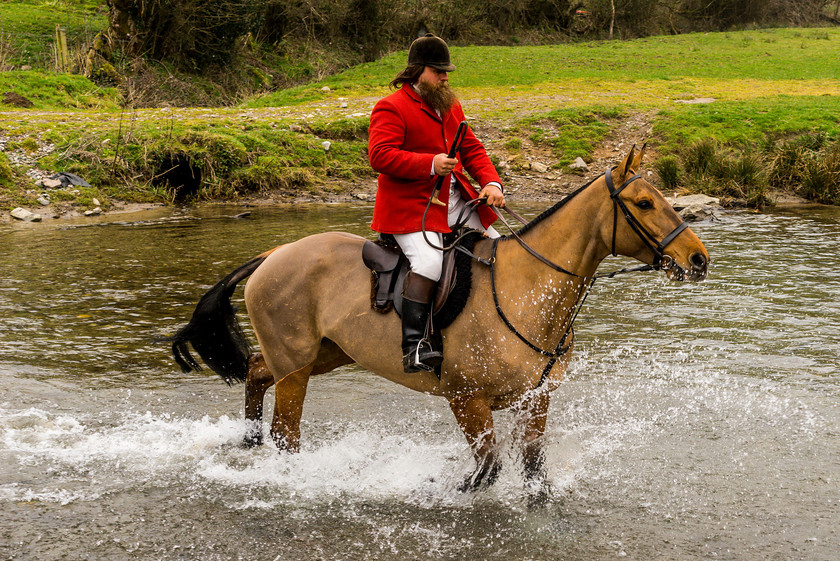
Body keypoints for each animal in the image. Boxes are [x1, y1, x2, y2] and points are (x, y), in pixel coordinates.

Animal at [172, 148, 708, 490]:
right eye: (644, 203)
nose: (699, 260)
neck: (528, 289)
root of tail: (273, 254)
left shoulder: (535, 402)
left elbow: (534, 474)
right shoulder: (466, 400)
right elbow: (486, 471)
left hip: (320, 355)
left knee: (256, 373)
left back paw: (247, 440)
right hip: (298, 368)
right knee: (286, 432)